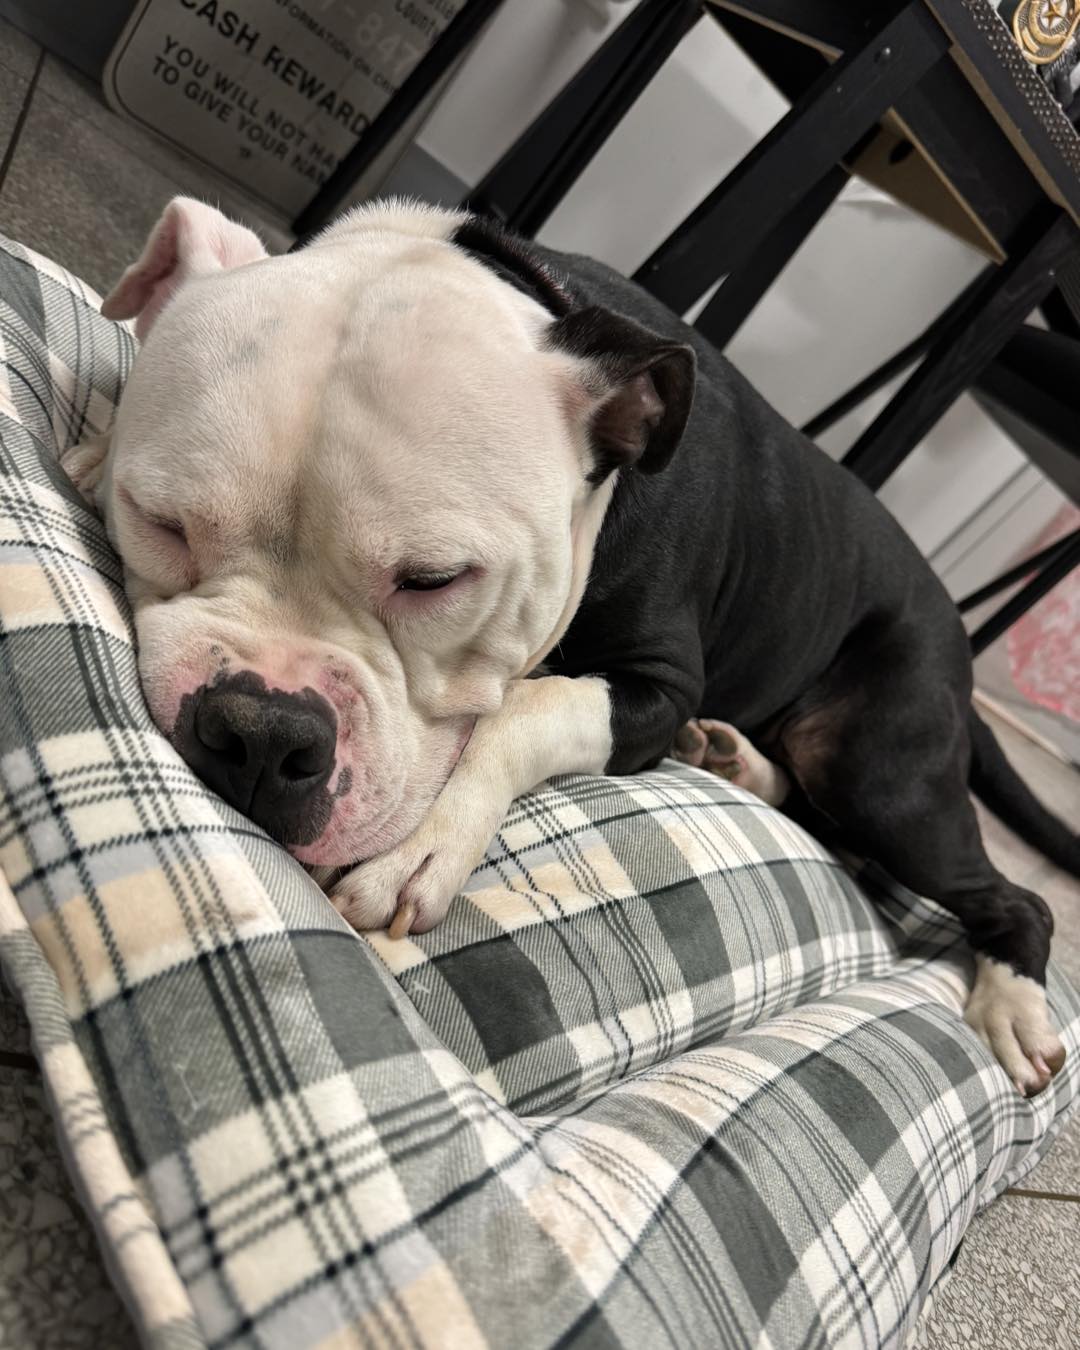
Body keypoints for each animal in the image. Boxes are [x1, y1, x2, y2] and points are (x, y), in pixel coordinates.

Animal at [63, 197, 1074, 1096]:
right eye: (162, 522)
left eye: (434, 580)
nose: (263, 731)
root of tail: (957, 643)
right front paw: (90, 452)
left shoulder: (657, 687)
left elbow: (531, 702)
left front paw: (425, 842)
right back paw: (738, 760)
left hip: (876, 768)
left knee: (1010, 896)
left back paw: (1016, 1010)